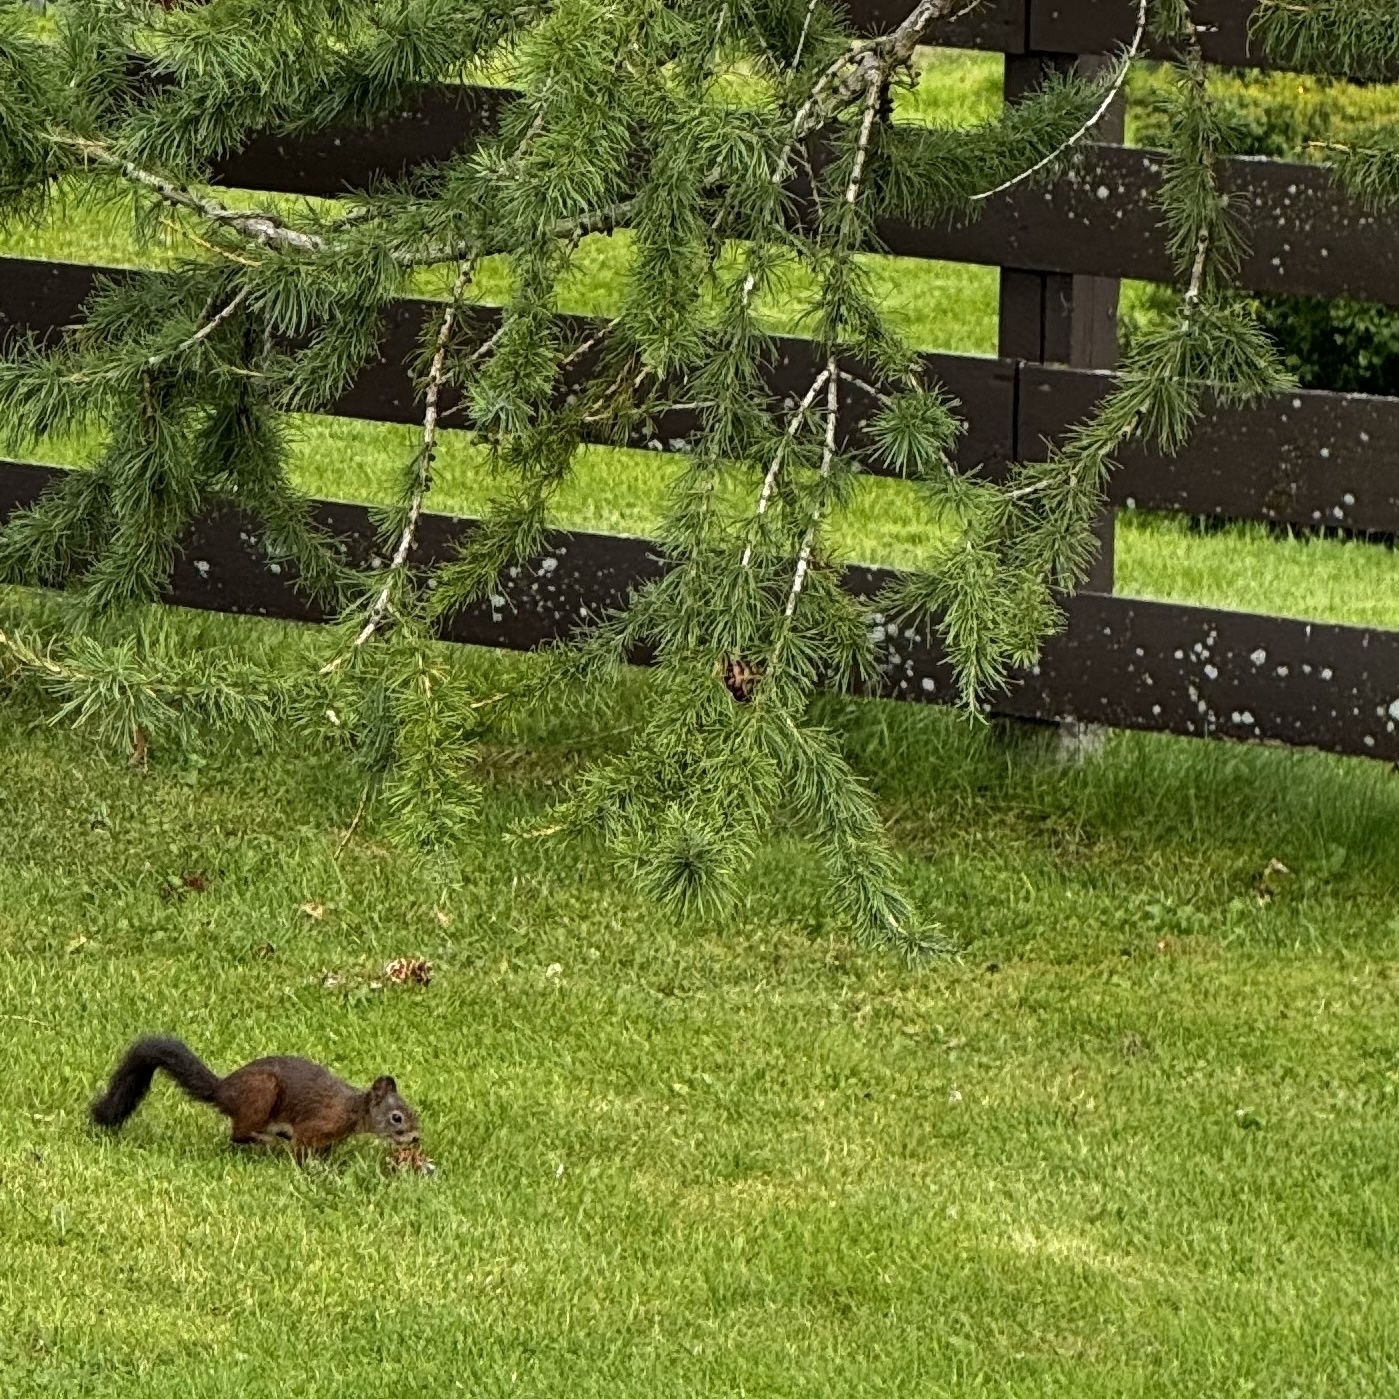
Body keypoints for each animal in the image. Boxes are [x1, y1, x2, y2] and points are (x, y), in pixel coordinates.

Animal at [90, 1040, 419, 1158]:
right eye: (397, 1117)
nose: (416, 1138)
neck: (352, 1109)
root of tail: (223, 1090)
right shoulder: (316, 1125)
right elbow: (302, 1149)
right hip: (261, 1094)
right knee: (239, 1134)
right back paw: (269, 1141)